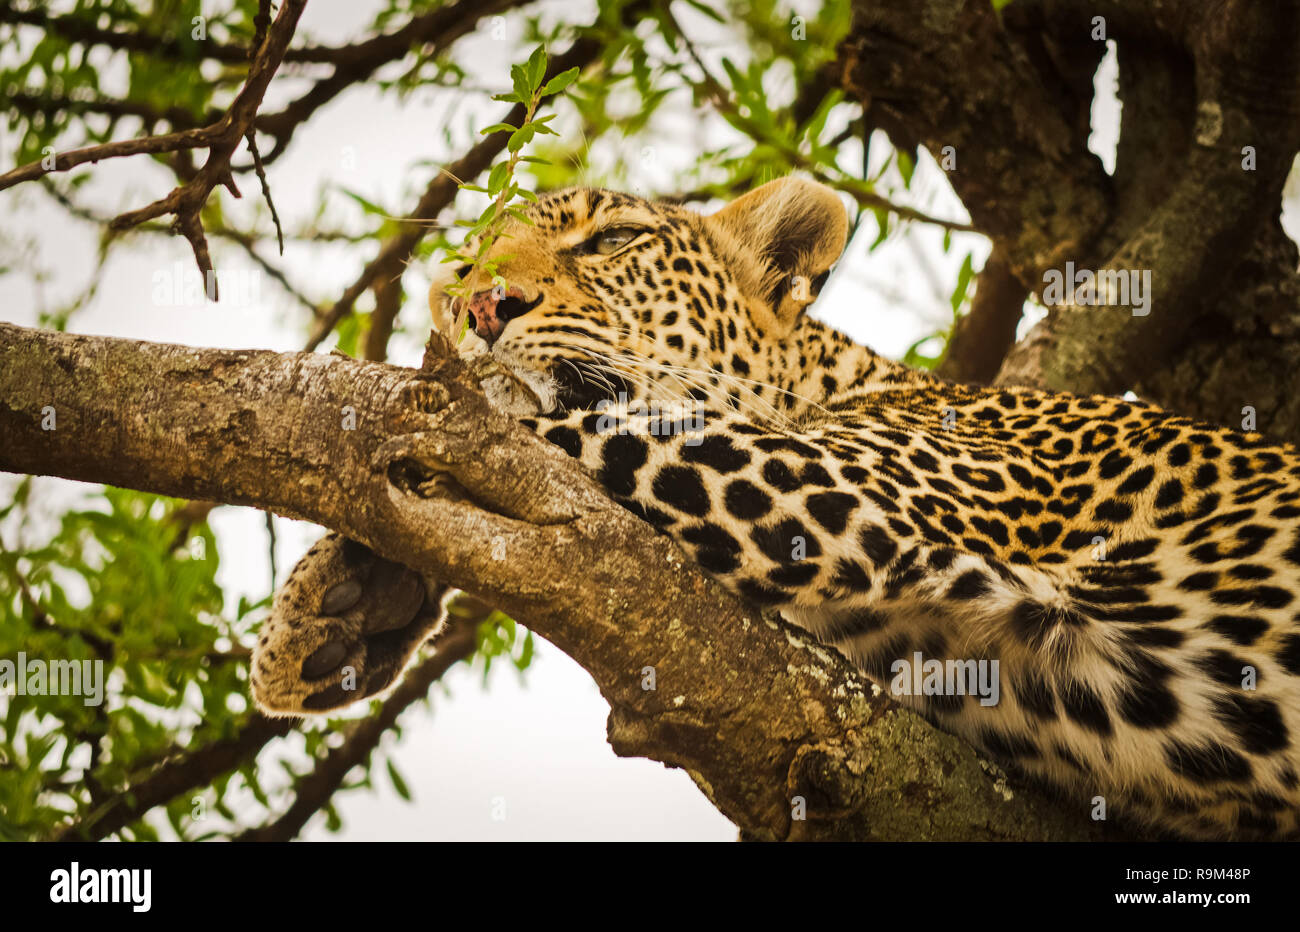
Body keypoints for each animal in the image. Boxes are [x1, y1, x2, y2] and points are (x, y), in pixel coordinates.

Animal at [250, 176, 1300, 842]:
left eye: (612, 241)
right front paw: (337, 608)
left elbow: (559, 425)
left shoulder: (837, 490)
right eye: (468, 265)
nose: (476, 308)